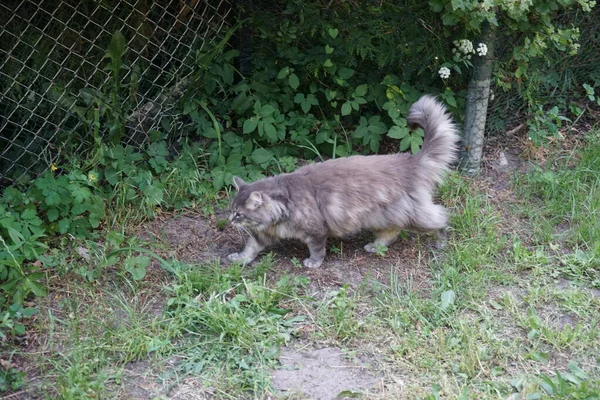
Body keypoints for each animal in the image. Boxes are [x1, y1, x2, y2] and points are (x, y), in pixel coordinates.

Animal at [229, 95, 460, 268]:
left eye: (239, 214)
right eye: (231, 209)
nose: (230, 220)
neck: (284, 203)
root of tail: (410, 161)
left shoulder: (316, 231)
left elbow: (317, 249)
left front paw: (313, 263)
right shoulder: (263, 235)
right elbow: (250, 248)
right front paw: (239, 259)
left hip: (414, 216)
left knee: (441, 218)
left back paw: (441, 241)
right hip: (380, 217)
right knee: (392, 232)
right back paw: (375, 246)